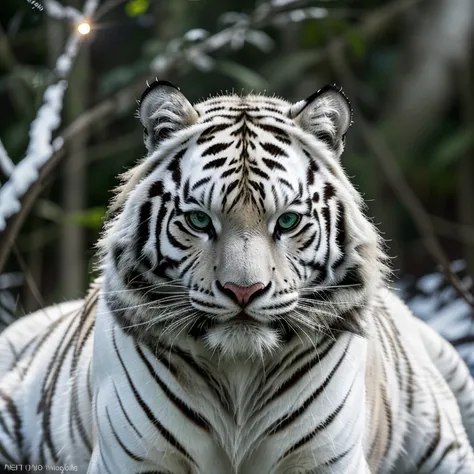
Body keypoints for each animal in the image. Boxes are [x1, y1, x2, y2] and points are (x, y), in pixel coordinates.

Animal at [0, 81, 472, 474]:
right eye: (198, 220)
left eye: (287, 221)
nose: (243, 290)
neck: (239, 376)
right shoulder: (132, 460)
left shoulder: (329, 460)